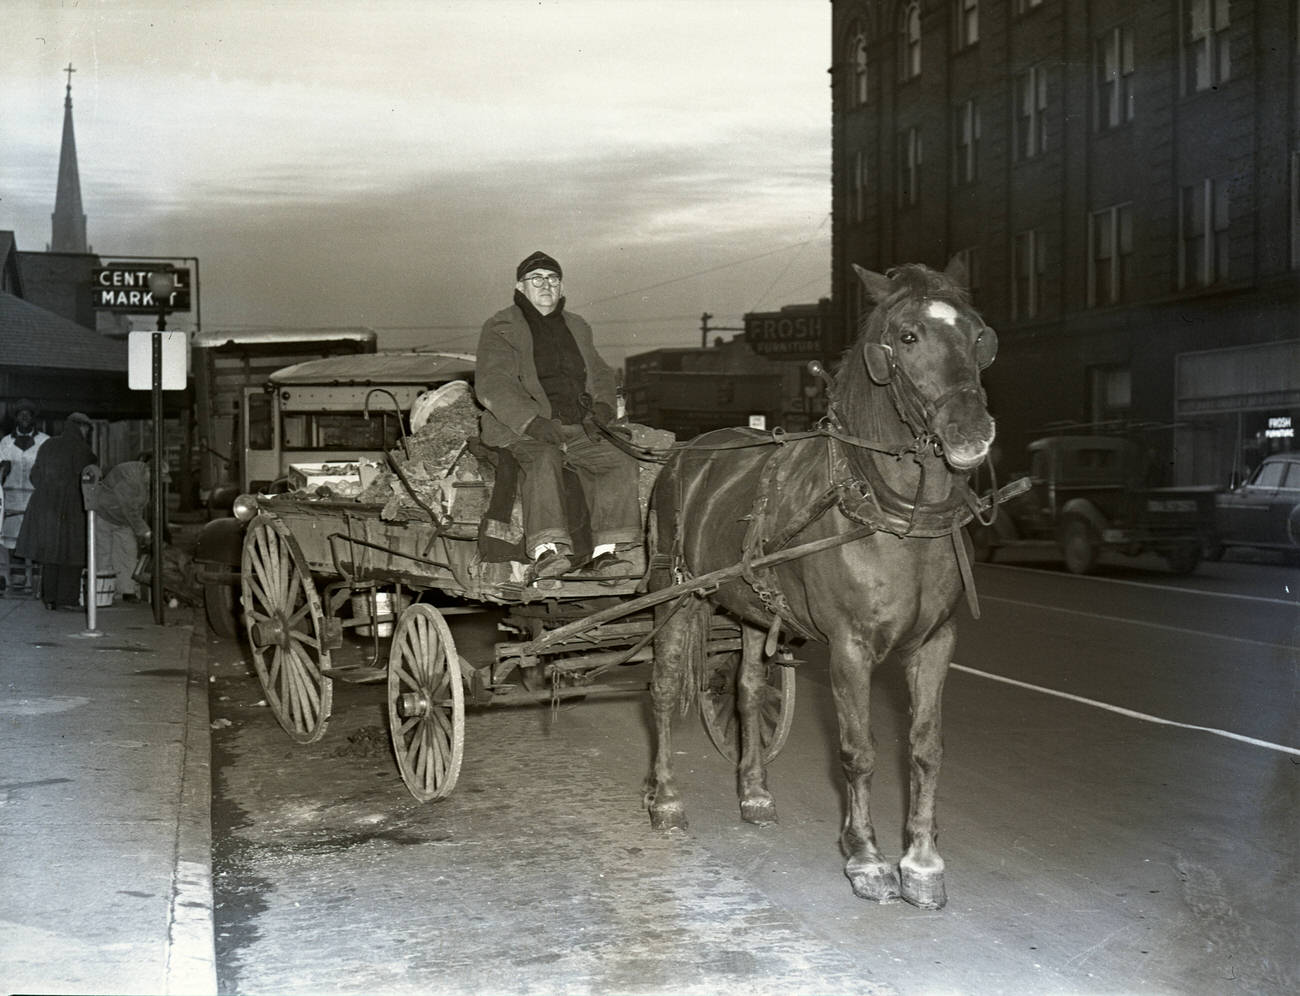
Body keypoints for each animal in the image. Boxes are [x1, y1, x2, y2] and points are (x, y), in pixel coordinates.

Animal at [644, 260, 998, 915]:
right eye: (907, 336)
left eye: (979, 335)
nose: (971, 432)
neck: (895, 517)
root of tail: (687, 452)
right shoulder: (851, 649)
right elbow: (859, 751)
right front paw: (867, 859)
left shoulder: (936, 642)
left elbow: (926, 747)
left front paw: (923, 863)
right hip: (674, 594)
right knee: (661, 688)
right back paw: (665, 799)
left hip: (751, 608)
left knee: (748, 692)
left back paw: (755, 793)